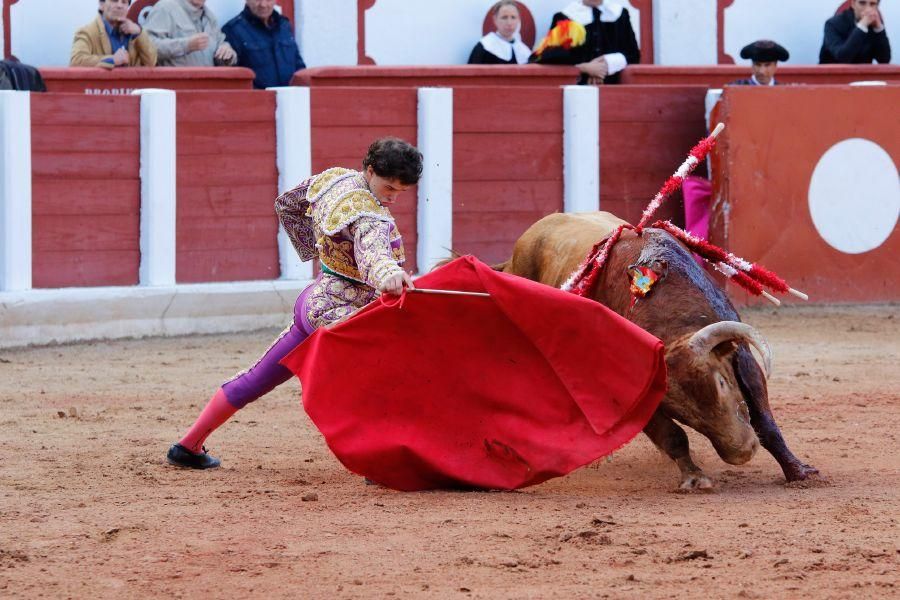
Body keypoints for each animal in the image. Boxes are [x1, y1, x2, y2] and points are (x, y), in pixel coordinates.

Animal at [500, 213, 824, 490]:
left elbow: (765, 421)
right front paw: (694, 478)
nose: (741, 452)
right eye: (681, 412)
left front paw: (799, 472)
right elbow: (673, 436)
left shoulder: (744, 360)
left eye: (721, 382)